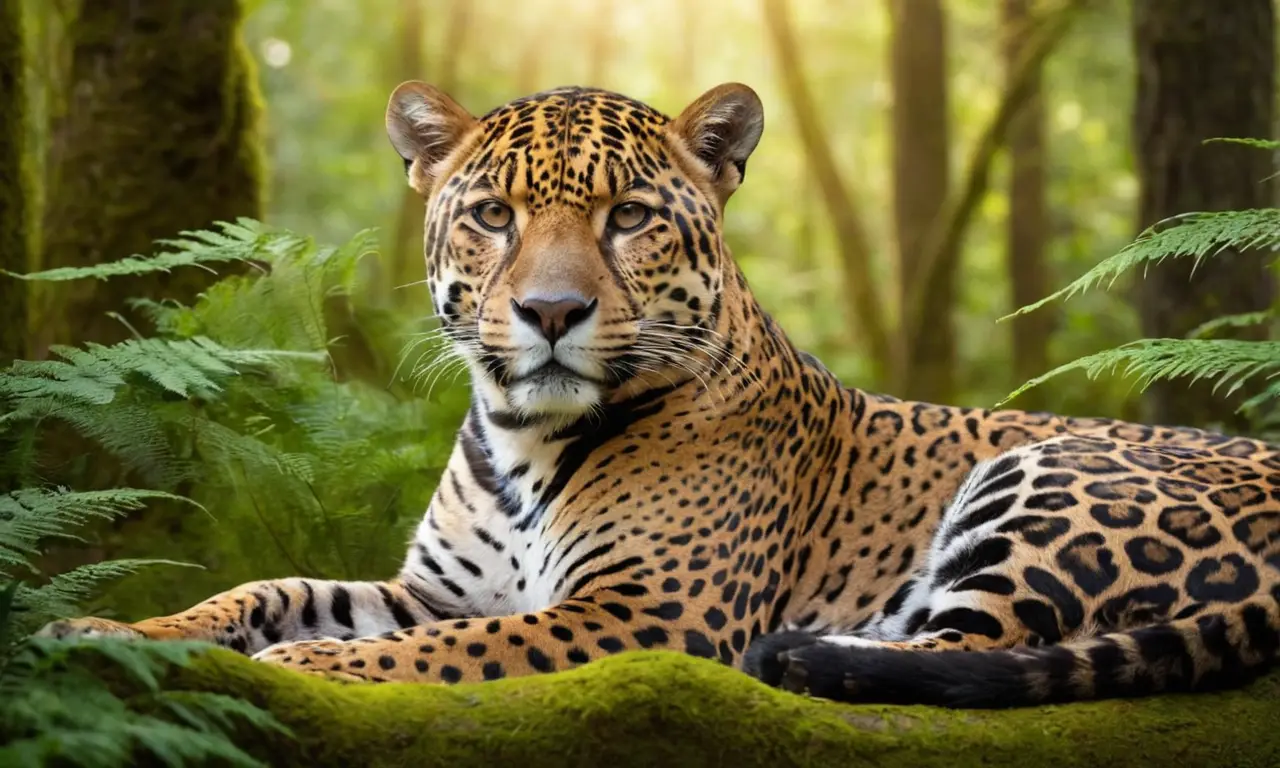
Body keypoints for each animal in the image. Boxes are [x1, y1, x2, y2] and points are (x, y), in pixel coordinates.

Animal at [39, 80, 1280, 708]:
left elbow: (434, 654)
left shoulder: (644, 614)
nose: (550, 311)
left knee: (971, 654)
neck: (520, 438)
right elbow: (265, 588)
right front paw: (112, 627)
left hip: (1046, 473)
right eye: (493, 214)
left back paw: (806, 654)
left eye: (628, 216)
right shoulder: (438, 590)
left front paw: (305, 667)